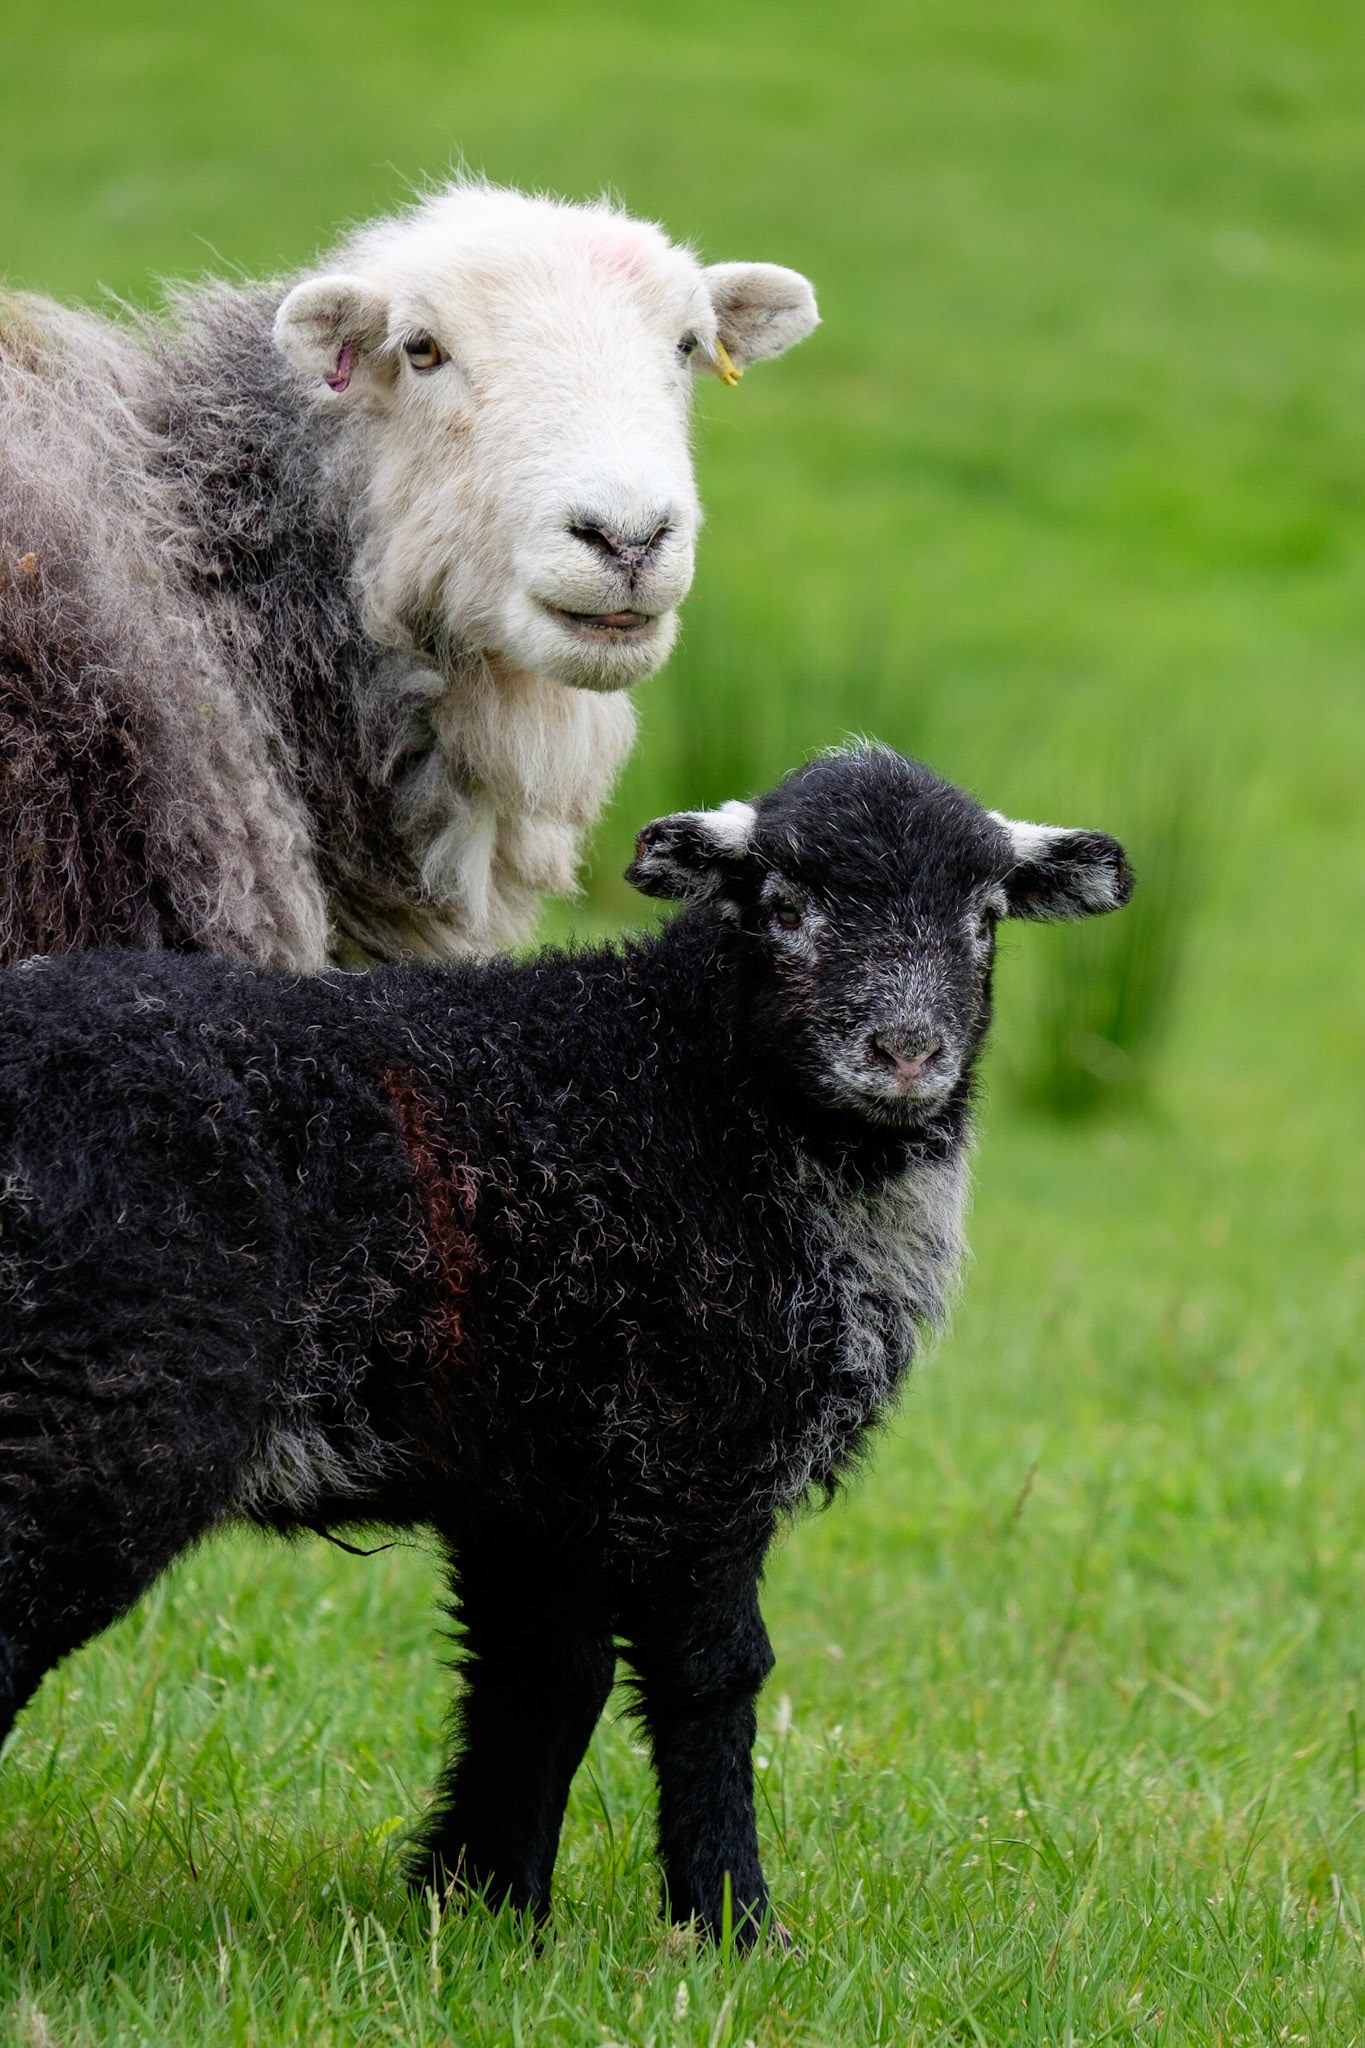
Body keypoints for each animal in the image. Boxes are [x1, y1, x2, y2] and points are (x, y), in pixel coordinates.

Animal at [0, 745, 1131, 1939]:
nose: (906, 1052)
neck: (692, 1085)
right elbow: (711, 1673)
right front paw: (734, 1921)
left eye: (984, 916)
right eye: (785, 906)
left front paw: (482, 1905)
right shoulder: (698, 1444)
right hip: (105, 1405)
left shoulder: (536, 1471)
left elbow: (541, 1674)